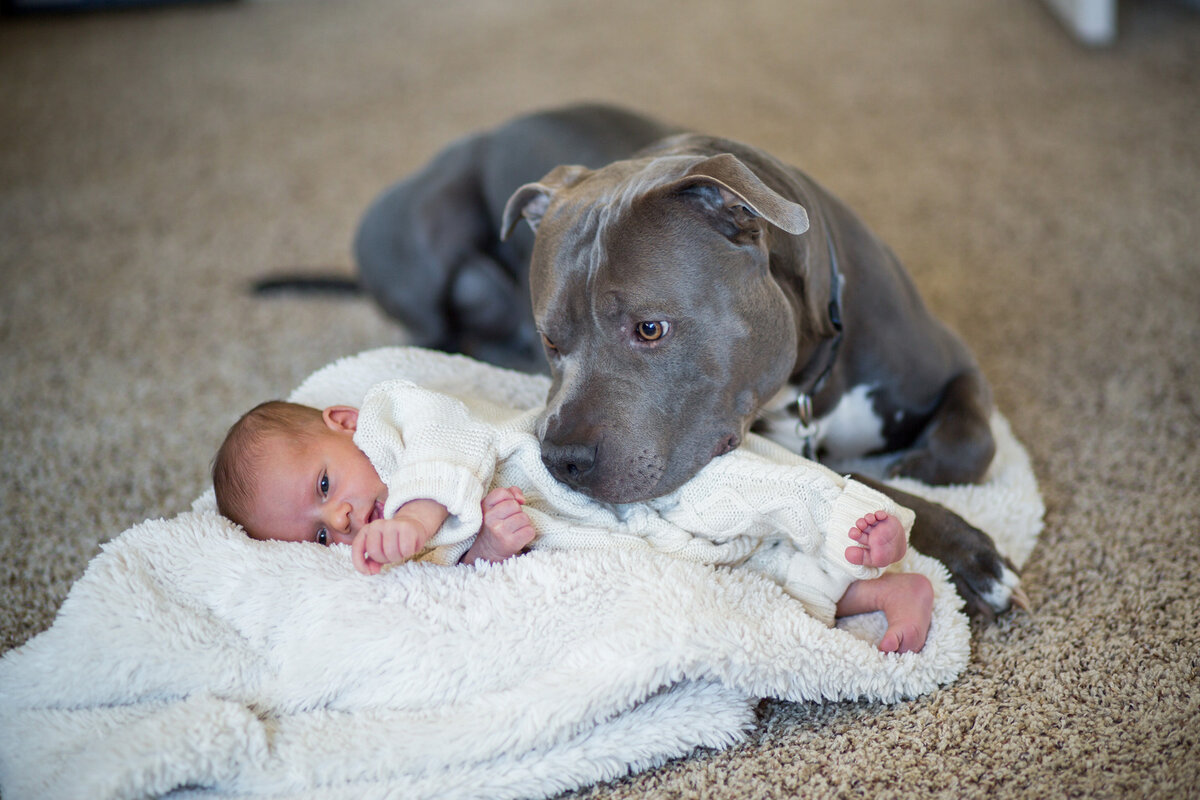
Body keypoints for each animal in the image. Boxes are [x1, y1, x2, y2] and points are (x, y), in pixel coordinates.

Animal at [352, 104, 1022, 618]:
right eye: (552, 342)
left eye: (650, 329)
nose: (560, 461)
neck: (814, 373)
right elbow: (866, 486)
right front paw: (969, 551)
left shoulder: (954, 361)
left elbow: (972, 442)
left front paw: (922, 469)